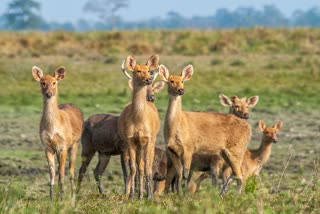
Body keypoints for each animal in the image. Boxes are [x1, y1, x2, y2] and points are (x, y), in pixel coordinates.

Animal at [31, 65, 82, 201]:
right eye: (42, 82)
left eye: (54, 82)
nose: (49, 93)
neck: (52, 128)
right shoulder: (47, 146)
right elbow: (52, 172)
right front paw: (52, 197)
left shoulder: (63, 145)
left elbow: (62, 172)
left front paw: (62, 198)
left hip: (75, 143)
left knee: (71, 170)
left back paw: (73, 196)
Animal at [117, 54, 161, 198]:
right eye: (137, 70)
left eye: (148, 69)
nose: (148, 79)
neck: (139, 121)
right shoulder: (130, 139)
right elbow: (133, 168)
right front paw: (132, 195)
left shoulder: (148, 139)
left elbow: (147, 167)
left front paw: (149, 195)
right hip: (136, 145)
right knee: (138, 167)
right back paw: (138, 193)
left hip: (151, 141)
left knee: (147, 165)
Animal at [159, 65, 251, 194]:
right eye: (171, 81)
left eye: (182, 81)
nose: (181, 90)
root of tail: (249, 127)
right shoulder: (172, 151)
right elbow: (179, 174)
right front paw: (178, 194)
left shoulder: (189, 148)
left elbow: (186, 175)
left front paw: (183, 195)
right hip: (226, 153)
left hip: (236, 150)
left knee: (239, 176)